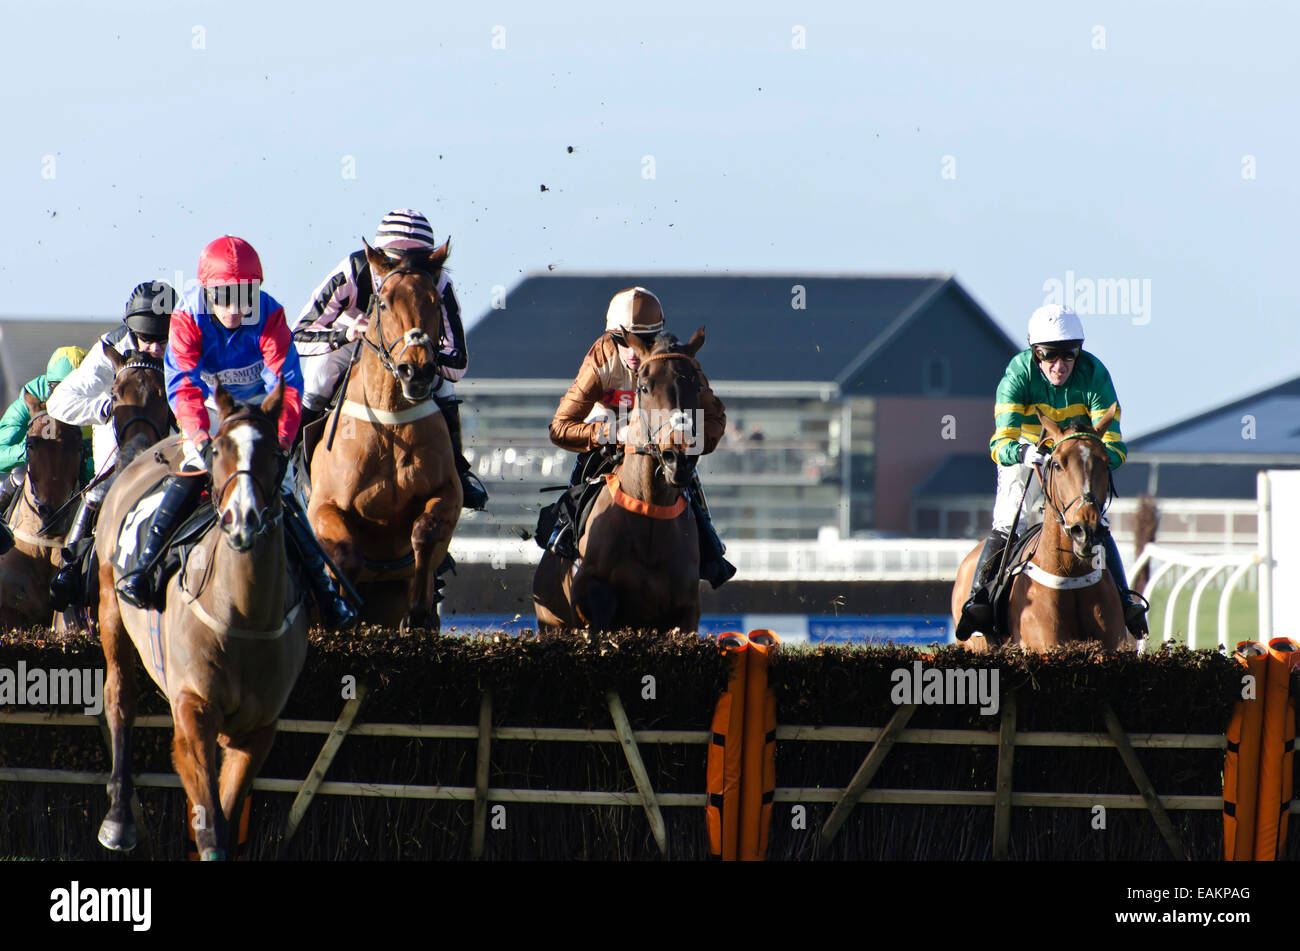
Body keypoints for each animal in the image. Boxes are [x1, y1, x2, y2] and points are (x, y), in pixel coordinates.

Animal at [95, 381, 306, 862]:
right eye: (219, 450)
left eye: (274, 453)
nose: (242, 519)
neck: (242, 613)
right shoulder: (194, 709)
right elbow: (210, 829)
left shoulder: (257, 729)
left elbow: (227, 818)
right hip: (109, 602)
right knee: (119, 696)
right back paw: (118, 819)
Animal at [533, 329, 707, 634]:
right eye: (644, 388)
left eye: (697, 386)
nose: (679, 457)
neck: (649, 512)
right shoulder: (588, 591)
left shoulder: (686, 610)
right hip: (549, 623)